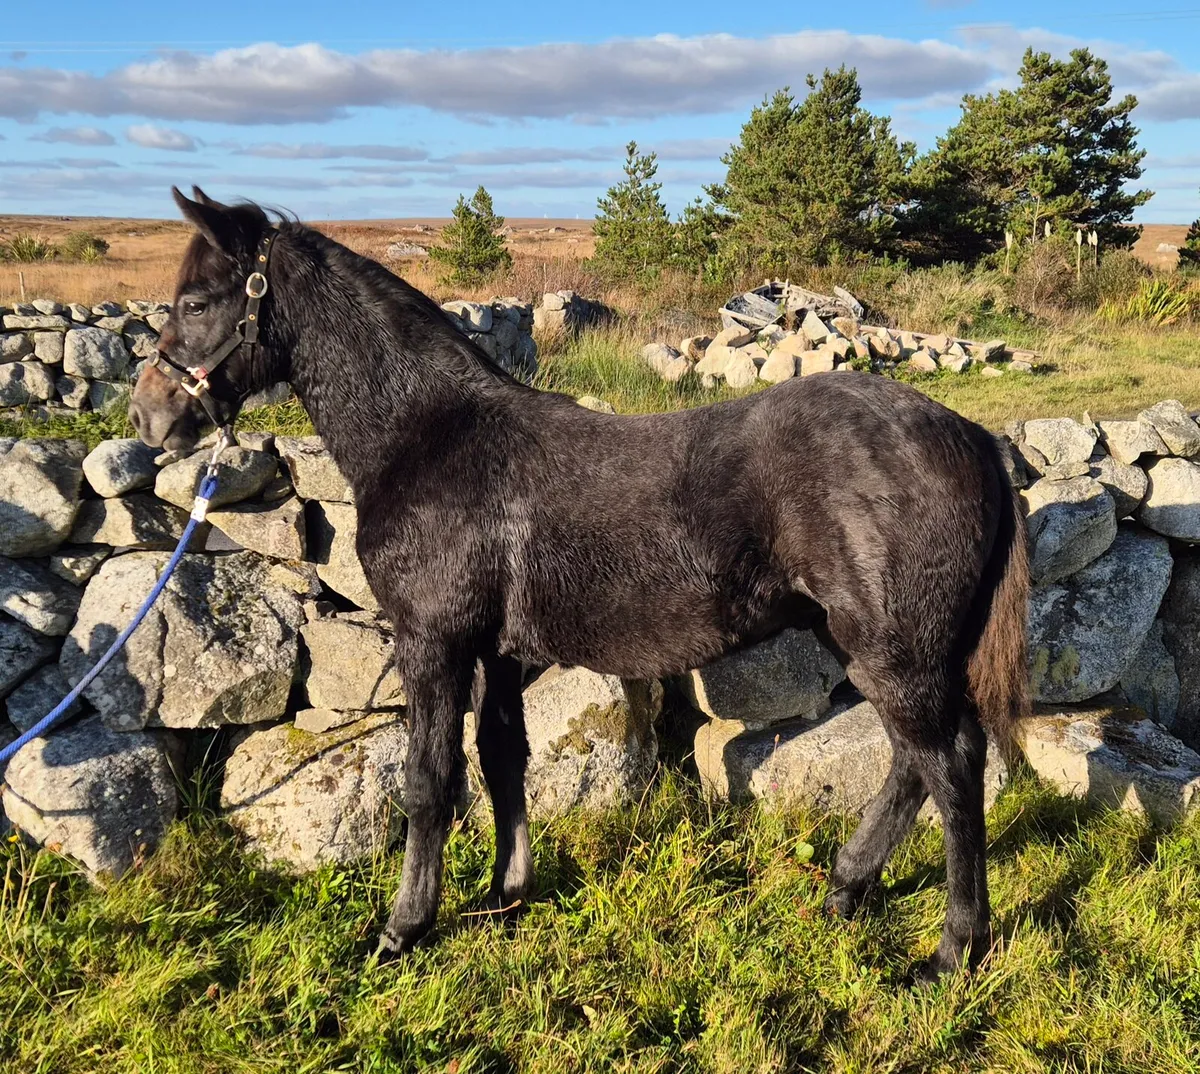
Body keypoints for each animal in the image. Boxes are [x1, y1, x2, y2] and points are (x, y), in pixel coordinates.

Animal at [129, 187, 1029, 979]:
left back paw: (953, 951)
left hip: (893, 653)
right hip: (868, 646)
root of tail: (971, 436)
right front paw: (506, 896)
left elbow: (428, 783)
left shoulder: (433, 644)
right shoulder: (496, 652)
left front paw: (403, 929)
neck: (431, 437)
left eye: (199, 302)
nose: (150, 416)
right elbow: (502, 760)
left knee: (951, 767)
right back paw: (846, 891)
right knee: (915, 764)